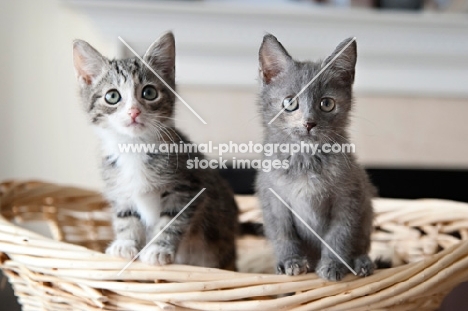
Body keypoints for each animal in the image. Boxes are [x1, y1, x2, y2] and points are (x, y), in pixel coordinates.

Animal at [74, 32, 239, 270]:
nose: (133, 112)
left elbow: (171, 220)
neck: (134, 147)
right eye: (112, 96)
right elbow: (126, 217)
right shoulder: (119, 188)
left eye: (149, 92)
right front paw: (126, 244)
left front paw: (158, 249)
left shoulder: (187, 187)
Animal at [254, 34, 374, 282]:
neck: (305, 159)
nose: (309, 123)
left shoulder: (349, 198)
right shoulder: (273, 199)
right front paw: (290, 262)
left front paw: (332, 265)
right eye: (290, 102)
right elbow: (283, 234)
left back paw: (362, 263)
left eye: (326, 103)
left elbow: (340, 235)